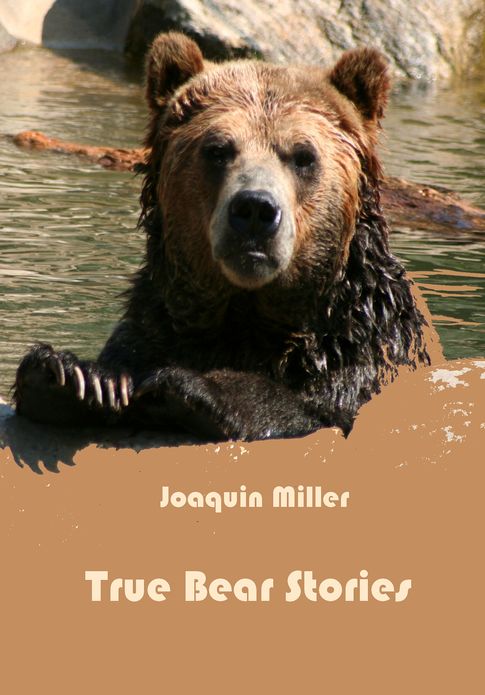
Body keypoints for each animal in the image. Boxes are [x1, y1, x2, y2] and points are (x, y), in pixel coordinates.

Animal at [13, 32, 437, 442]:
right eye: (217, 150)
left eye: (303, 155)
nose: (254, 210)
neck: (249, 313)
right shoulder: (154, 326)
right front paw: (74, 375)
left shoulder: (362, 347)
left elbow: (318, 406)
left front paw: (185, 385)